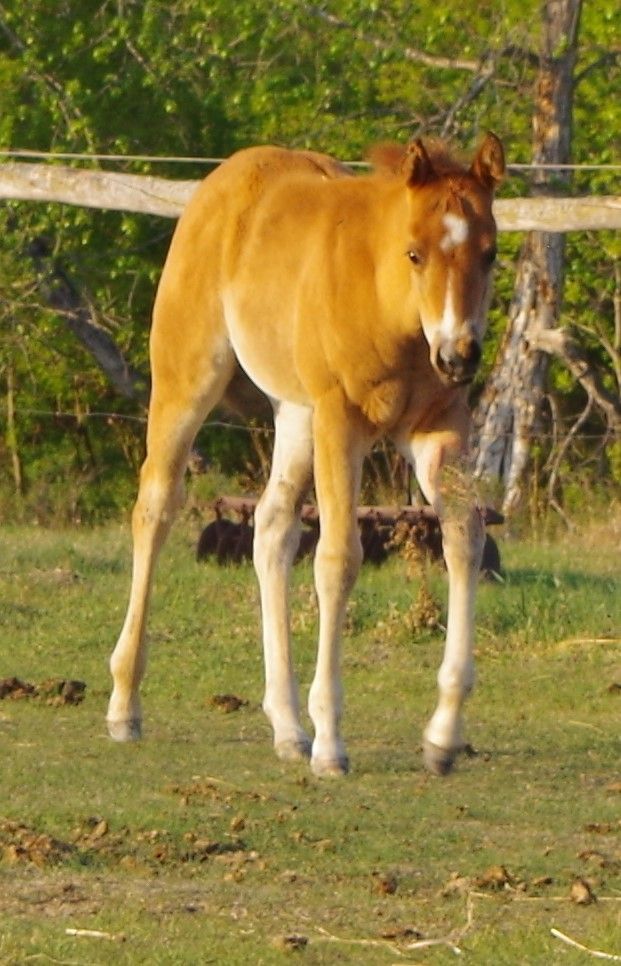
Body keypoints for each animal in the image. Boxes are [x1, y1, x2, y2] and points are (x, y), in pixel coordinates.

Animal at [107, 133, 505, 778]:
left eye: (490, 254)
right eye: (415, 253)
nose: (458, 355)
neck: (390, 306)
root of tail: (224, 179)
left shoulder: (439, 429)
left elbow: (463, 541)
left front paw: (443, 737)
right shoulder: (341, 422)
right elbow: (338, 560)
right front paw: (332, 743)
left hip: (295, 414)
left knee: (271, 527)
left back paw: (287, 726)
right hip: (188, 381)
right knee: (156, 508)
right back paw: (124, 705)